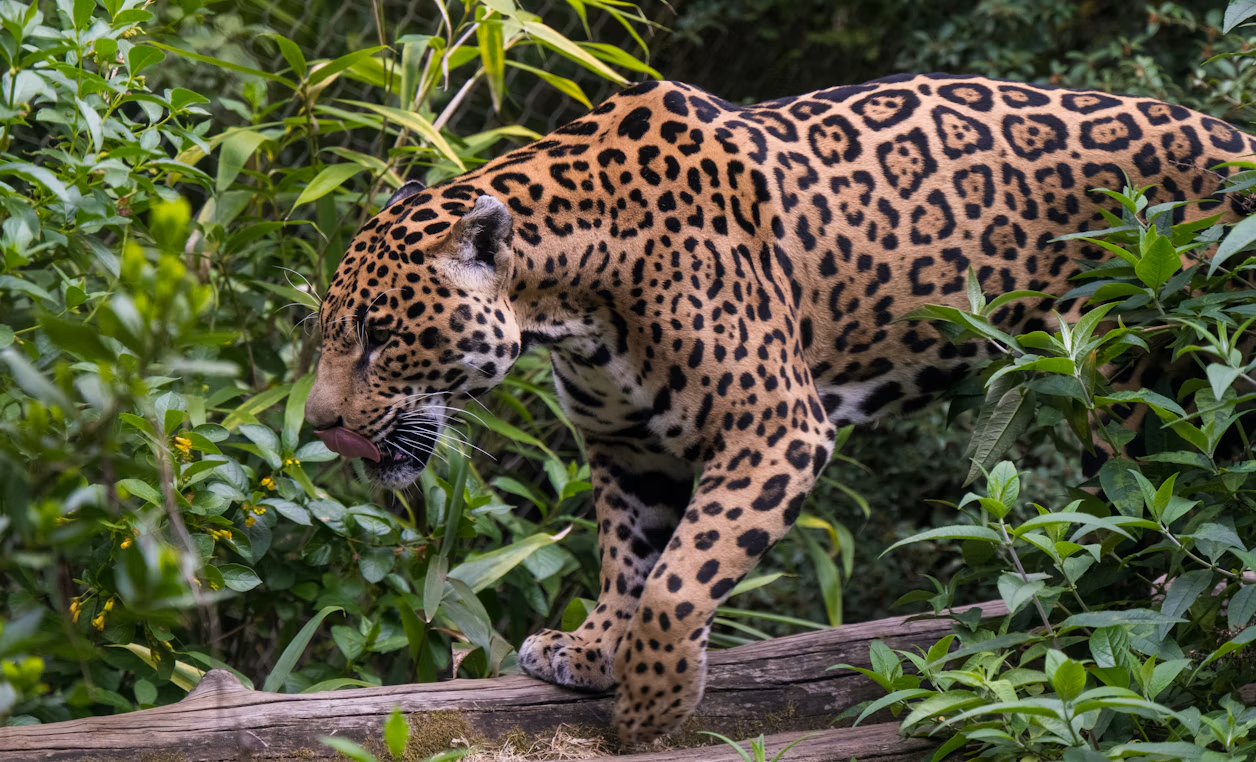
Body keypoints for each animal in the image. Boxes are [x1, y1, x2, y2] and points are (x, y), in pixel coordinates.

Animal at [304, 73, 1255, 744]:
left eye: (382, 336)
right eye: (332, 332)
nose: (318, 425)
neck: (570, 294)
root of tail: (1238, 138)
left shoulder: (774, 428)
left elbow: (679, 581)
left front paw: (653, 703)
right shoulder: (627, 448)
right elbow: (628, 561)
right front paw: (593, 650)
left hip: (1137, 376)